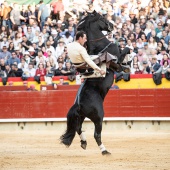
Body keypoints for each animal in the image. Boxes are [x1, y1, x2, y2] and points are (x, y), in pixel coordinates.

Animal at [59, 10, 129, 155]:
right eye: (102, 17)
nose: (112, 25)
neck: (99, 45)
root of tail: (78, 105)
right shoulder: (117, 60)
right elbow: (126, 49)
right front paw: (127, 66)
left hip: (80, 117)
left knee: (78, 128)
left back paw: (84, 143)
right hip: (98, 117)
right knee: (97, 134)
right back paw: (104, 151)